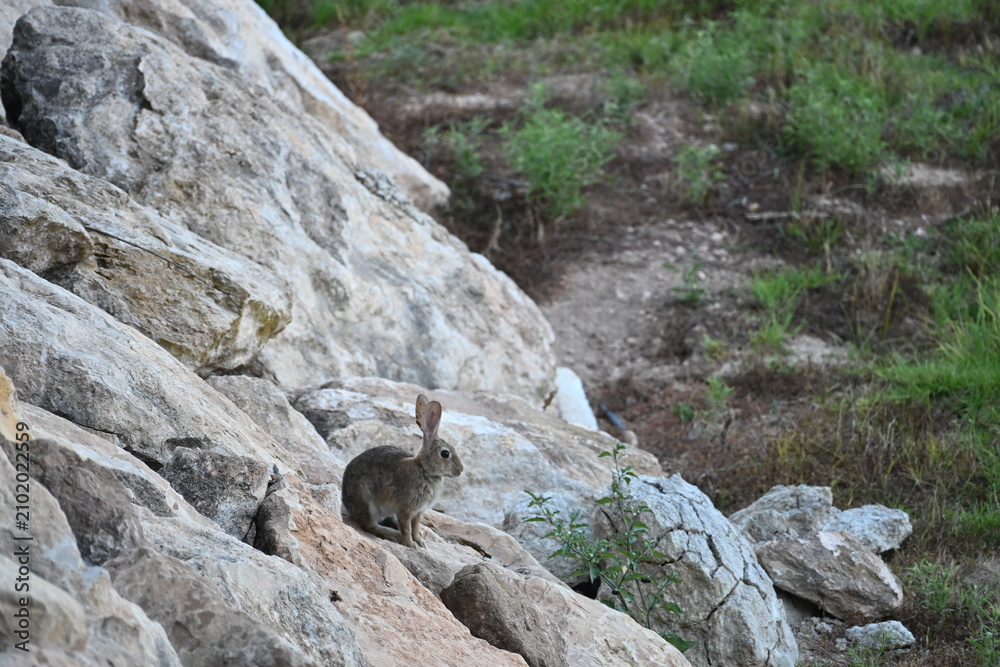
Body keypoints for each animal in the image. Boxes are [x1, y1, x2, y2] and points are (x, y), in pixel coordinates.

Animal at [341, 394, 463, 547]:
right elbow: (406, 528)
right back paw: (393, 534)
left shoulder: (418, 511)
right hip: (368, 503)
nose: (460, 470)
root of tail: (346, 502)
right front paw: (411, 544)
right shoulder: (404, 508)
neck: (424, 469)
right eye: (445, 454)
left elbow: (415, 527)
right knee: (368, 525)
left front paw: (420, 542)